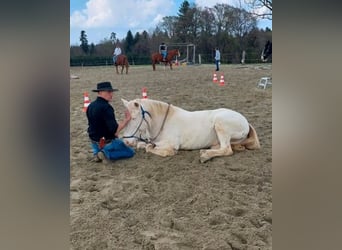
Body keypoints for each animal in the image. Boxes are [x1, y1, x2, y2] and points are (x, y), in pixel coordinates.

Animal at [120, 97, 260, 162]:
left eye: (134, 118)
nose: (126, 142)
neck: (163, 123)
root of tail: (245, 121)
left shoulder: (171, 145)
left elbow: (152, 149)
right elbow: (142, 145)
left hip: (221, 124)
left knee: (227, 149)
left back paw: (205, 155)